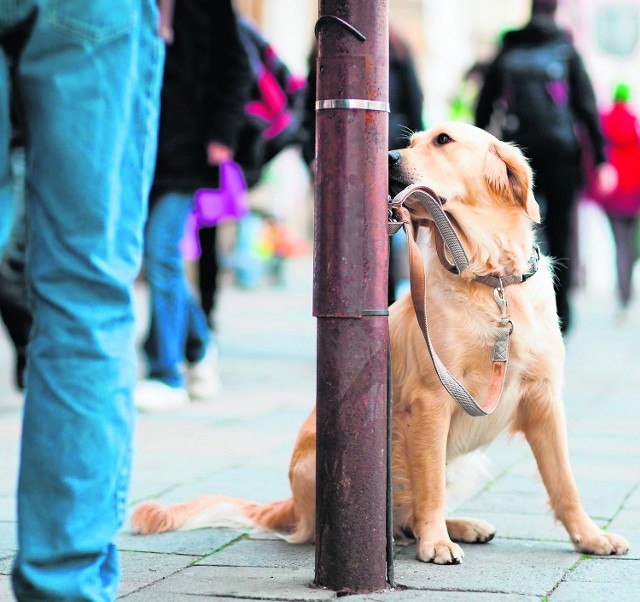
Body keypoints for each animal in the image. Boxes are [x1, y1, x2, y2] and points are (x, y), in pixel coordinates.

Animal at [131, 122, 632, 564]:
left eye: (443, 139)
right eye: (408, 142)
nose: (387, 158)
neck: (488, 279)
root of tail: (290, 503)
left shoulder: (544, 398)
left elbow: (564, 481)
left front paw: (590, 536)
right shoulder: (431, 399)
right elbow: (430, 487)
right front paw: (435, 544)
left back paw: (463, 525)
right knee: (391, 514)